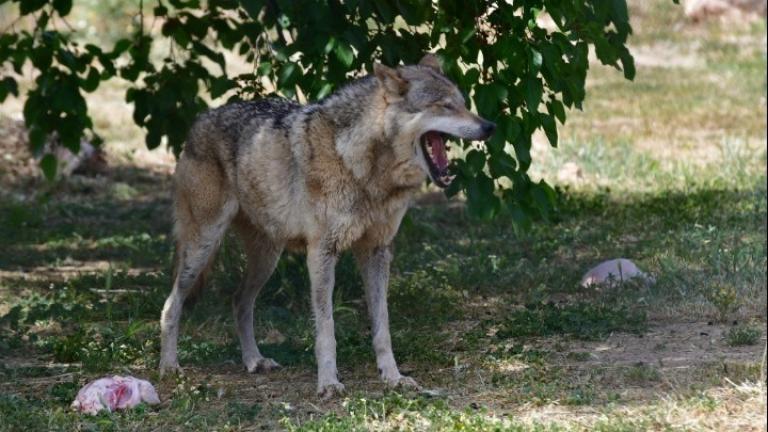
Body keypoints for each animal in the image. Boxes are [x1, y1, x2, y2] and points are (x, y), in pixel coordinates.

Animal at [159, 54, 496, 398]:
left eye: (464, 104)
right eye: (444, 106)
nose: (490, 126)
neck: (364, 168)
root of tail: (201, 118)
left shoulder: (377, 251)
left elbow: (383, 327)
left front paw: (393, 377)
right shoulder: (322, 252)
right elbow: (326, 329)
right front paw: (329, 383)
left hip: (267, 258)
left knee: (239, 300)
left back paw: (254, 360)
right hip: (203, 248)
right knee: (171, 304)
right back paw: (169, 367)